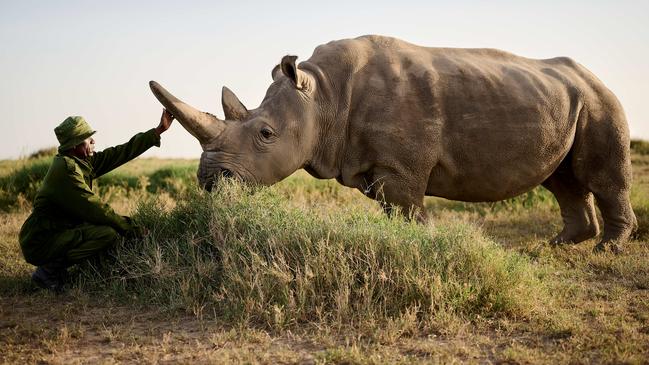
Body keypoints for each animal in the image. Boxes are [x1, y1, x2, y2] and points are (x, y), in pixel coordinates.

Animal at [148, 34, 636, 250]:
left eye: (266, 134)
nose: (211, 181)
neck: (321, 96)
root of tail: (593, 77)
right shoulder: (376, 165)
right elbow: (395, 212)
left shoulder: (402, 169)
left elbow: (409, 212)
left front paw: (424, 249)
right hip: (566, 101)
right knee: (561, 178)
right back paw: (557, 246)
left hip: (600, 100)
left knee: (599, 176)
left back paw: (606, 249)